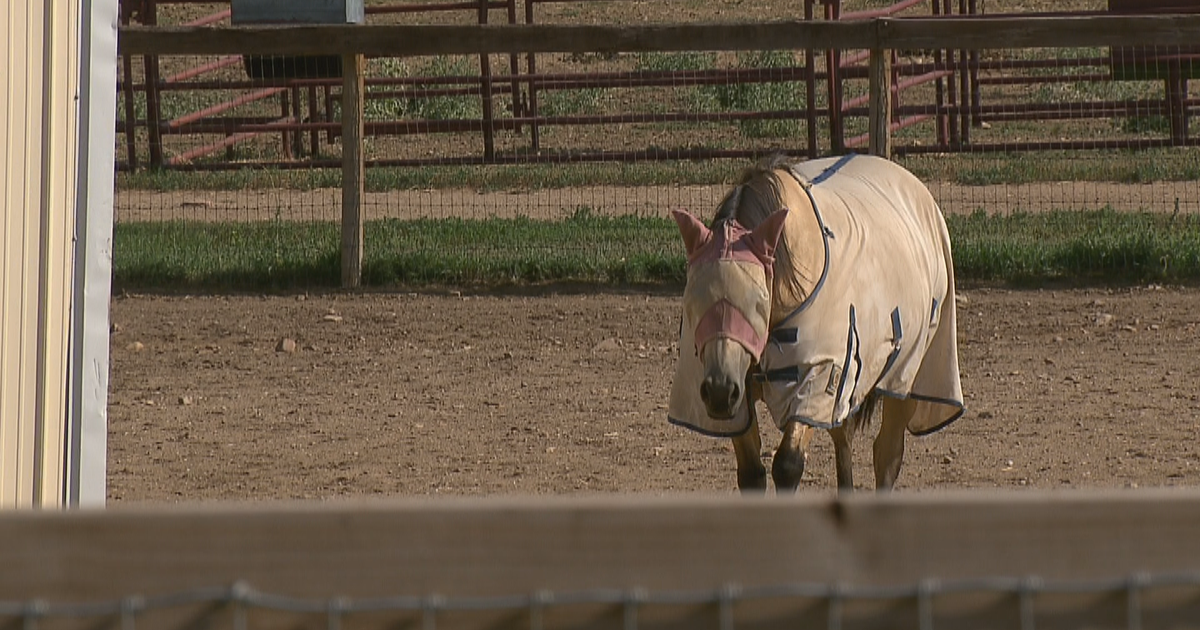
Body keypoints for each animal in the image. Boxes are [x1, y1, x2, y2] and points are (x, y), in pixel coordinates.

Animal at [667, 153, 964, 492]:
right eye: (691, 301)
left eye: (758, 300)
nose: (719, 390)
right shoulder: (739, 395)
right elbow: (752, 473)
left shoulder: (819, 375)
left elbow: (787, 465)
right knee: (843, 436)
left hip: (905, 372)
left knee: (887, 454)